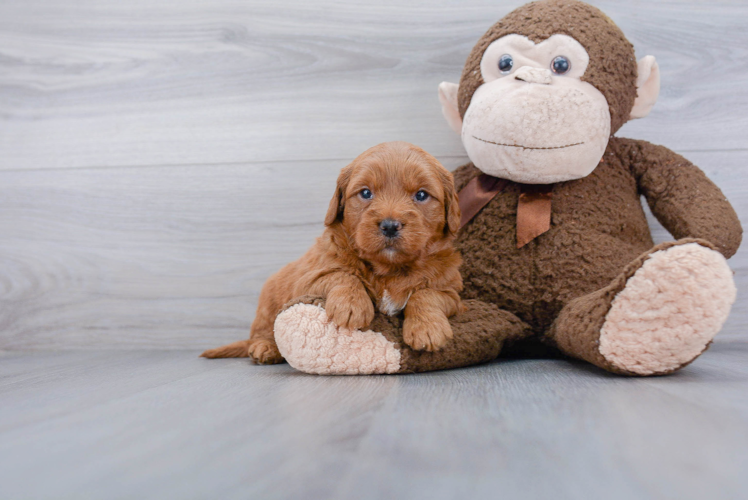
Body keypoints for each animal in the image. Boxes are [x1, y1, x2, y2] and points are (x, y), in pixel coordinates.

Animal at [202, 141, 464, 364]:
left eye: (421, 195)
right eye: (366, 193)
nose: (390, 225)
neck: (389, 269)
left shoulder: (451, 293)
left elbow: (427, 294)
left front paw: (427, 328)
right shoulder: (308, 279)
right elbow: (342, 274)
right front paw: (352, 305)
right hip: (268, 302)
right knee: (265, 330)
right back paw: (265, 347)